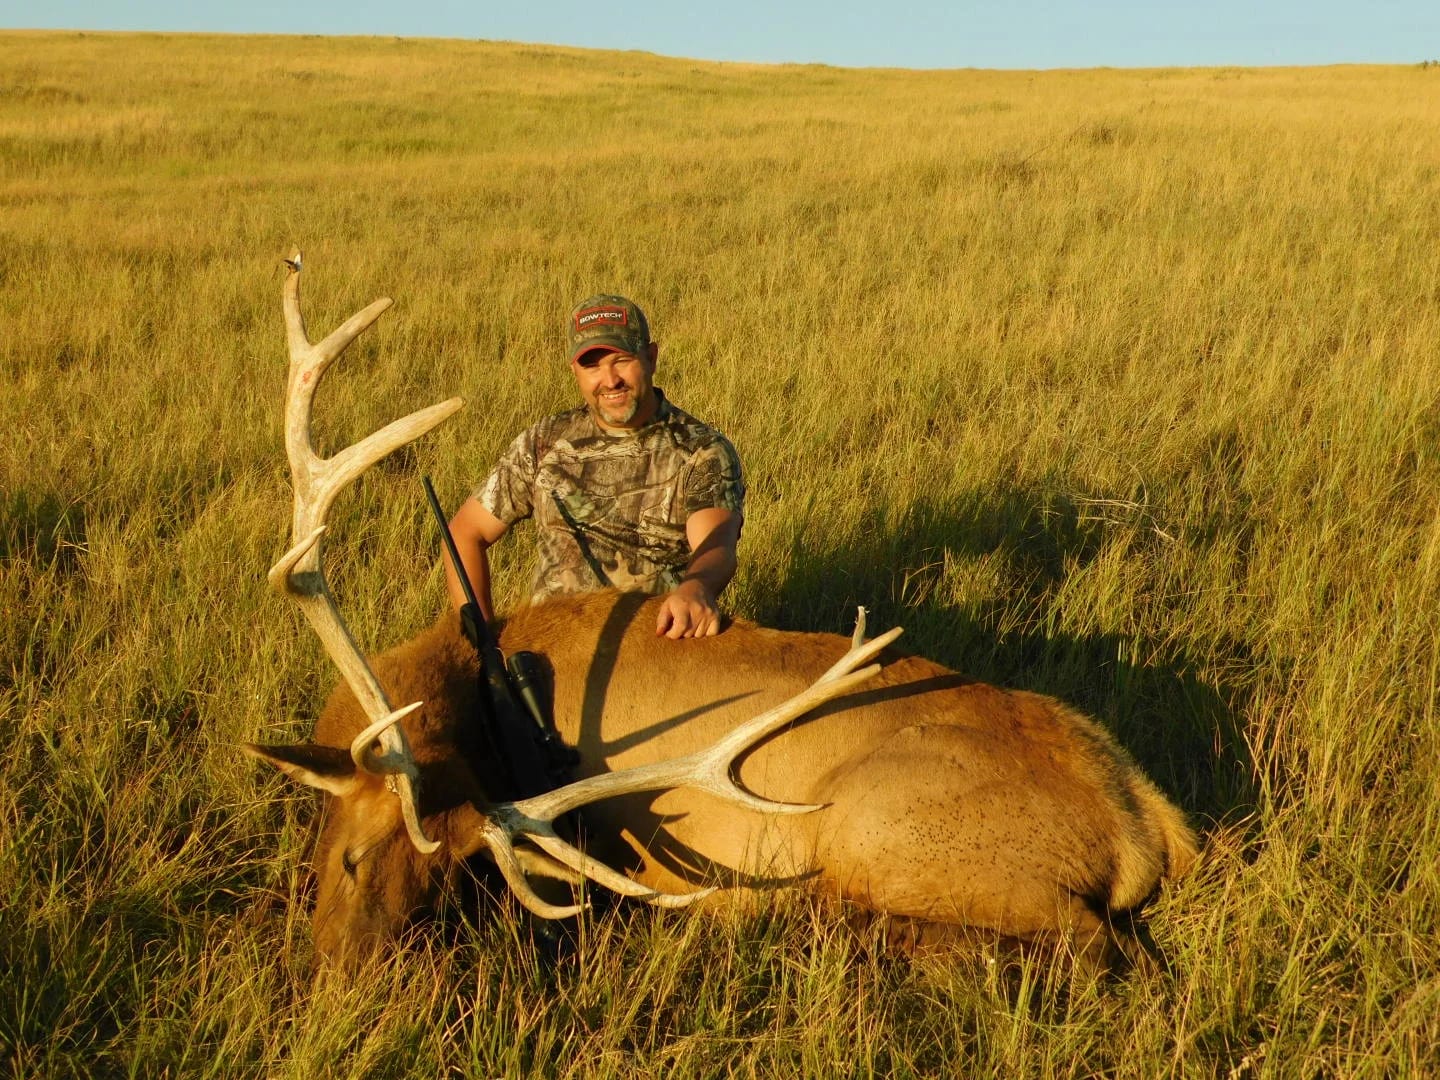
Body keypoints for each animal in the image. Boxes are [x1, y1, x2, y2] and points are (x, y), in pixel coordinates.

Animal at [245, 253, 1199, 973]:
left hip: (874, 828)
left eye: (371, 861)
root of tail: (1146, 821)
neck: (473, 695)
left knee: (1099, 947)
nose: (343, 973)